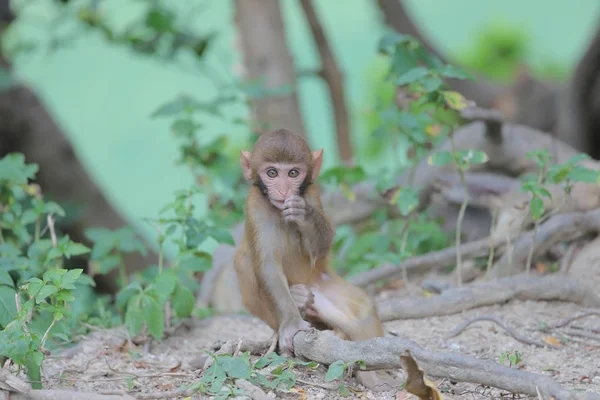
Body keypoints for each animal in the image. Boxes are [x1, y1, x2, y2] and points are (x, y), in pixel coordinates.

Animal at [233, 129, 398, 390]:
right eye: (272, 173)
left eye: (293, 173)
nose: (283, 191)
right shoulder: (254, 206)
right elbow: (267, 265)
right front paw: (292, 322)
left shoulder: (311, 193)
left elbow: (320, 248)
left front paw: (304, 214)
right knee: (244, 261)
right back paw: (297, 300)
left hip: (322, 284)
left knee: (361, 310)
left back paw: (371, 375)